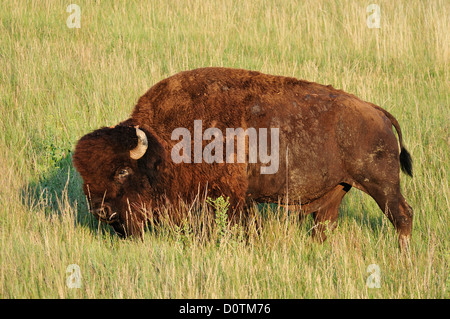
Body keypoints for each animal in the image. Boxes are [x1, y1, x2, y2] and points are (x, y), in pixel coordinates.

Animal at [72, 67, 414, 250]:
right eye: (85, 176)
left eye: (122, 171)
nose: (100, 211)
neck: (164, 145)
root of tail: (377, 112)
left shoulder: (230, 197)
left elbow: (239, 226)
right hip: (339, 189)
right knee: (324, 224)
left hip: (381, 185)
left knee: (403, 215)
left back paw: (403, 256)